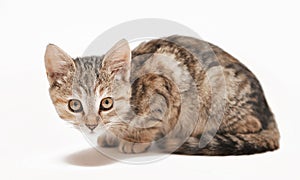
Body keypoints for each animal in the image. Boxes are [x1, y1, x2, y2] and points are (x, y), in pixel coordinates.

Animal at [44, 35, 278, 156]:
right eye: (75, 105)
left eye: (107, 103)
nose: (91, 125)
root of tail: (267, 108)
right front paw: (112, 135)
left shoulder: (164, 83)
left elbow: (151, 122)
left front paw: (135, 141)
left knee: (251, 123)